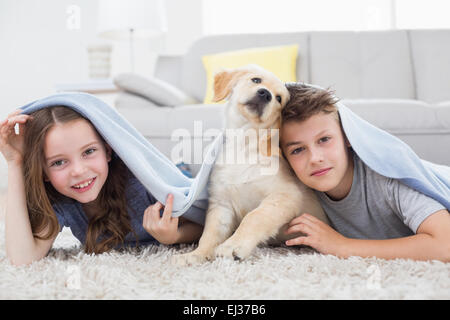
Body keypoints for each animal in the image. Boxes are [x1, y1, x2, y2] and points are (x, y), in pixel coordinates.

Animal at [174, 64, 328, 264]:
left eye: (279, 98)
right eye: (256, 80)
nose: (265, 94)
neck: (243, 145)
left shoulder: (285, 195)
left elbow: (254, 217)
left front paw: (233, 246)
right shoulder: (221, 203)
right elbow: (210, 233)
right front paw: (196, 255)